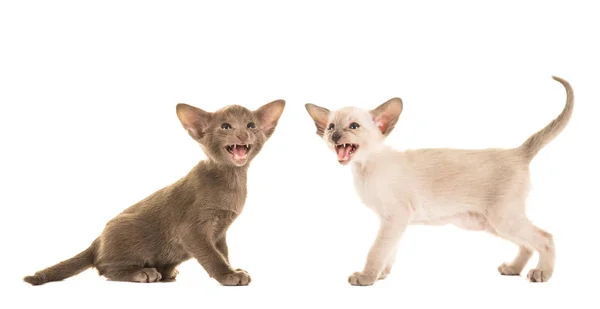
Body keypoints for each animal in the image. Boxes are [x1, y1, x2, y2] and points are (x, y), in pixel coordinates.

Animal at [24, 100, 286, 286]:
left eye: (251, 125)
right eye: (225, 127)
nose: (243, 135)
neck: (232, 179)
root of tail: (97, 240)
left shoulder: (220, 232)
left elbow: (223, 252)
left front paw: (234, 268)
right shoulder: (193, 230)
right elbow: (212, 256)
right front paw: (228, 275)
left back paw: (166, 271)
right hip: (125, 233)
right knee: (105, 268)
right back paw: (143, 273)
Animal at [308, 76, 576, 286]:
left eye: (353, 126)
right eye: (330, 126)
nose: (334, 136)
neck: (364, 167)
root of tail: (518, 151)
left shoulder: (394, 217)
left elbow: (377, 250)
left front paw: (367, 277)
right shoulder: (393, 222)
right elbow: (390, 250)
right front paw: (382, 274)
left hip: (503, 218)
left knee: (545, 237)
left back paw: (542, 273)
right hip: (489, 222)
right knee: (528, 244)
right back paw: (513, 269)